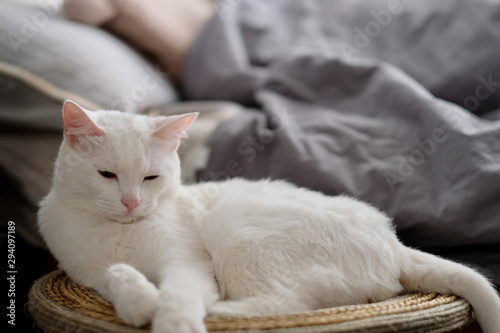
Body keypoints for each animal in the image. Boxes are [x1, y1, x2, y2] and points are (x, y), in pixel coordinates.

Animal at [39, 100, 500, 332]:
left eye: (151, 178)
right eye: (107, 175)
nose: (132, 202)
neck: (121, 229)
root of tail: (397, 245)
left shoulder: (186, 262)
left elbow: (179, 294)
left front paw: (172, 320)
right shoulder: (89, 273)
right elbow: (118, 274)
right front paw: (138, 302)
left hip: (238, 233)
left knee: (287, 302)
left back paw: (219, 310)